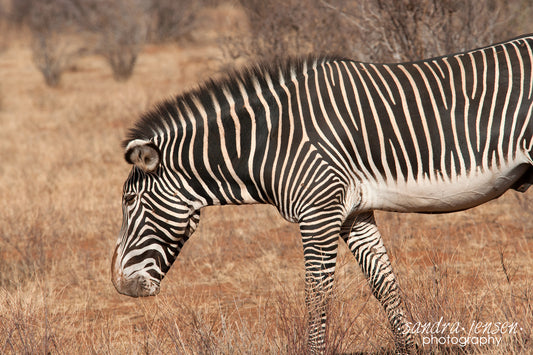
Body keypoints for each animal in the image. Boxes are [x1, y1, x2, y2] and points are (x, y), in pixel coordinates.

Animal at [110, 34, 532, 355]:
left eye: (129, 202)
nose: (120, 285)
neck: (273, 141)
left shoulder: (318, 212)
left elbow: (316, 296)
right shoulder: (352, 213)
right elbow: (384, 285)